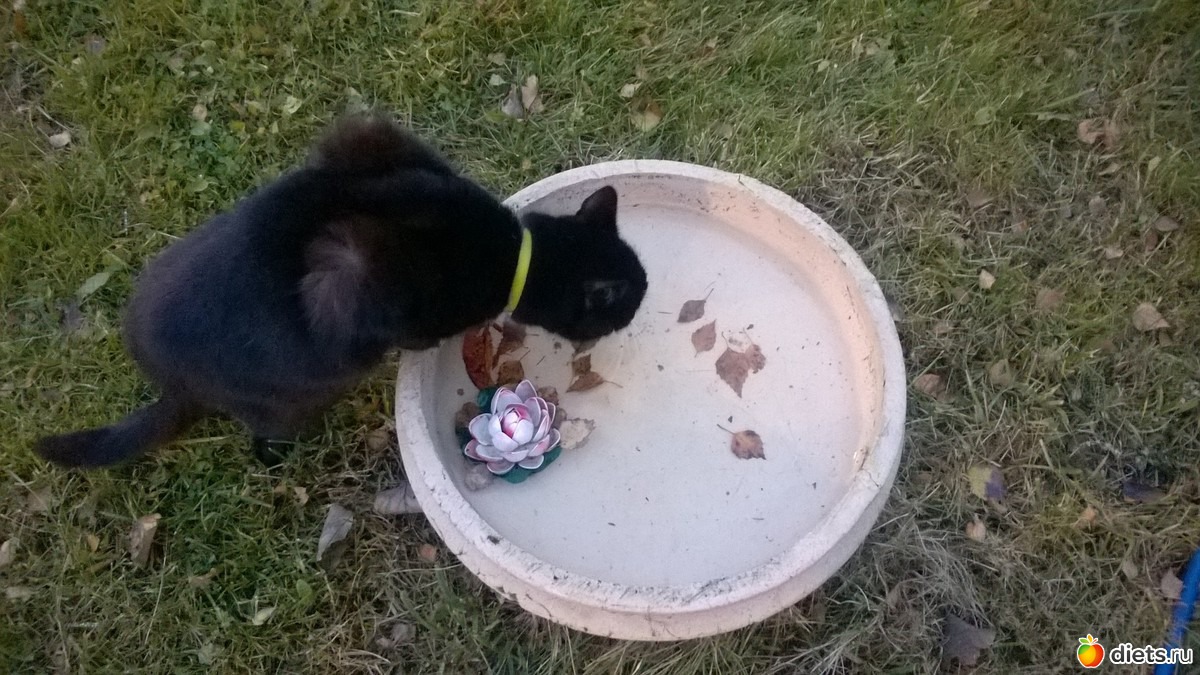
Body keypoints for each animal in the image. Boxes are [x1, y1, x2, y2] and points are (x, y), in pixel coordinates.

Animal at [34, 113, 648, 468]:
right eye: (629, 302)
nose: (643, 299)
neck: (512, 251)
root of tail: (173, 383)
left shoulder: (366, 141)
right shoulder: (368, 285)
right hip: (299, 372)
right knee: (266, 439)